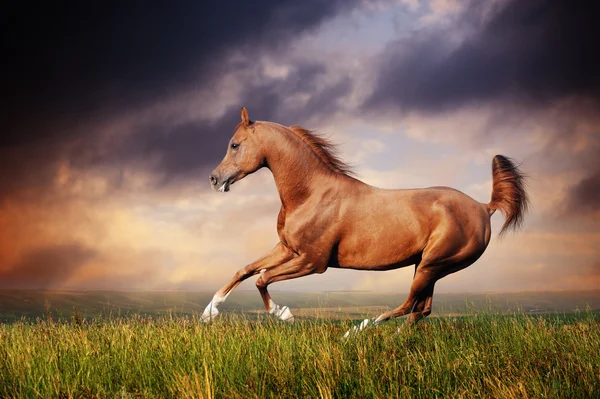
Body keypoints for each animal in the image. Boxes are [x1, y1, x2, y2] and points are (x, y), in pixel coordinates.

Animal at [203, 106, 528, 332]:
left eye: (235, 144)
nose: (214, 179)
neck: (310, 194)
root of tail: (483, 207)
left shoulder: (312, 262)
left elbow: (262, 278)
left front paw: (284, 314)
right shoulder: (286, 248)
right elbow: (245, 270)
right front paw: (209, 312)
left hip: (432, 265)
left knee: (409, 305)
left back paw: (357, 331)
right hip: (429, 267)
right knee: (421, 310)